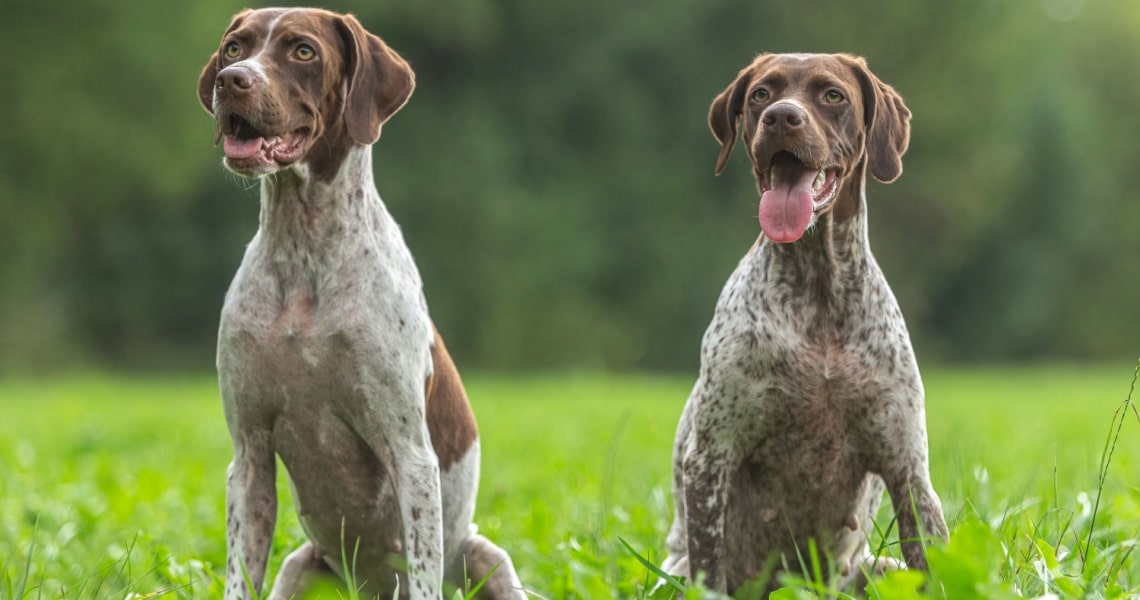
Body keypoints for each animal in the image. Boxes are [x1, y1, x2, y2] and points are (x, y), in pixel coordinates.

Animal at [665, 53, 948, 597]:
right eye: (761, 94)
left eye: (832, 95)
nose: (781, 117)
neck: (819, 295)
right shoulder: (711, 458)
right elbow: (711, 563)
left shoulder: (908, 468)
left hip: (876, 568)